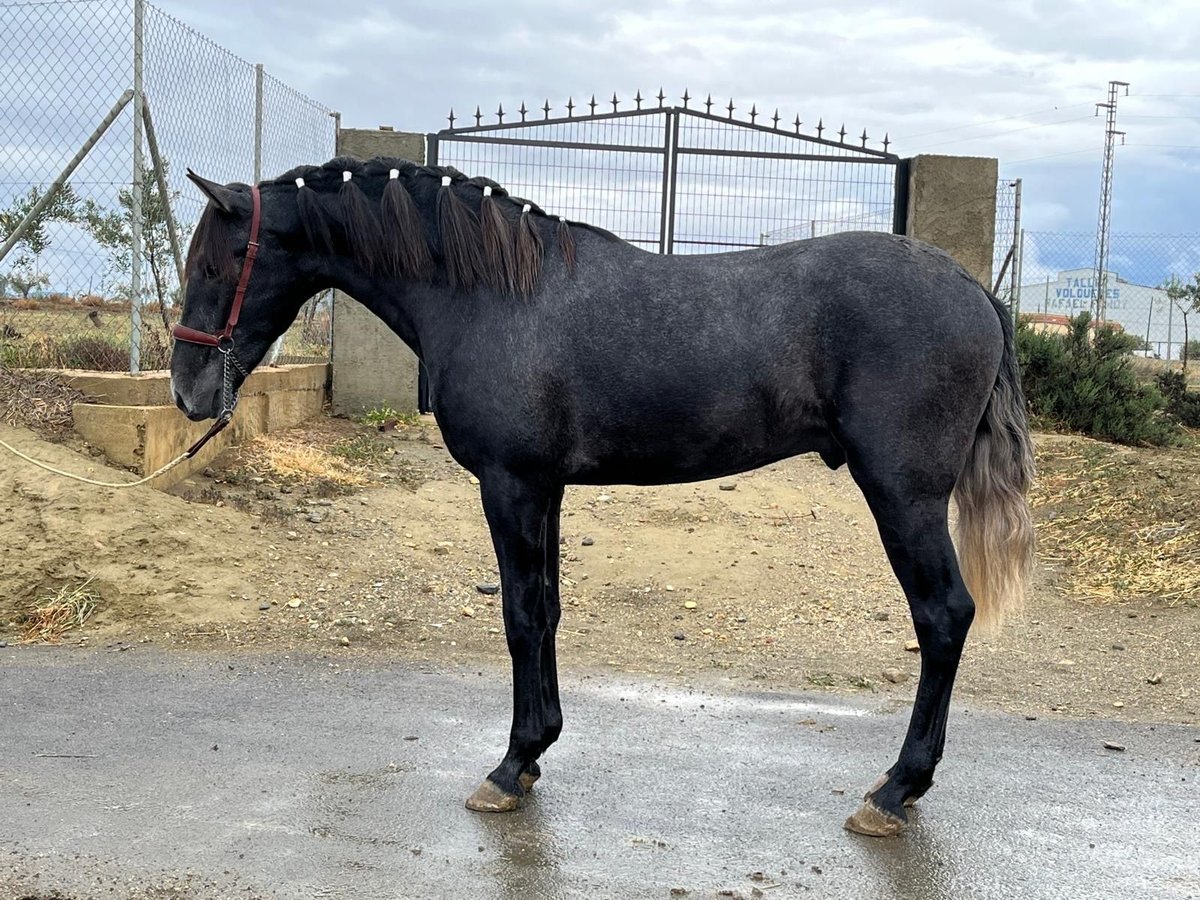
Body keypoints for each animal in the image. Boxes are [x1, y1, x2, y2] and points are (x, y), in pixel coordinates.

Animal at [166, 154, 1032, 840]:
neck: (494, 295)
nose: (186, 390)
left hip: (904, 496)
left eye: (215, 265)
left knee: (944, 616)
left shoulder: (510, 484)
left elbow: (520, 618)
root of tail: (972, 287)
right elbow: (546, 612)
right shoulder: (543, 488)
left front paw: (508, 767)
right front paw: (535, 753)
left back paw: (896, 789)